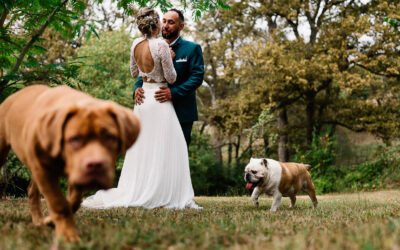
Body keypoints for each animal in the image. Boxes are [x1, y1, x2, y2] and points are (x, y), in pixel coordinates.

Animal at [0, 84, 141, 242]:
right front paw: (68, 235)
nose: (96, 165)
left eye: (110, 137)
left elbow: (73, 202)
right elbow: (58, 203)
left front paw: (52, 221)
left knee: (32, 190)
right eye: (74, 139)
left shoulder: (72, 172)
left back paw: (39, 220)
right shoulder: (44, 170)